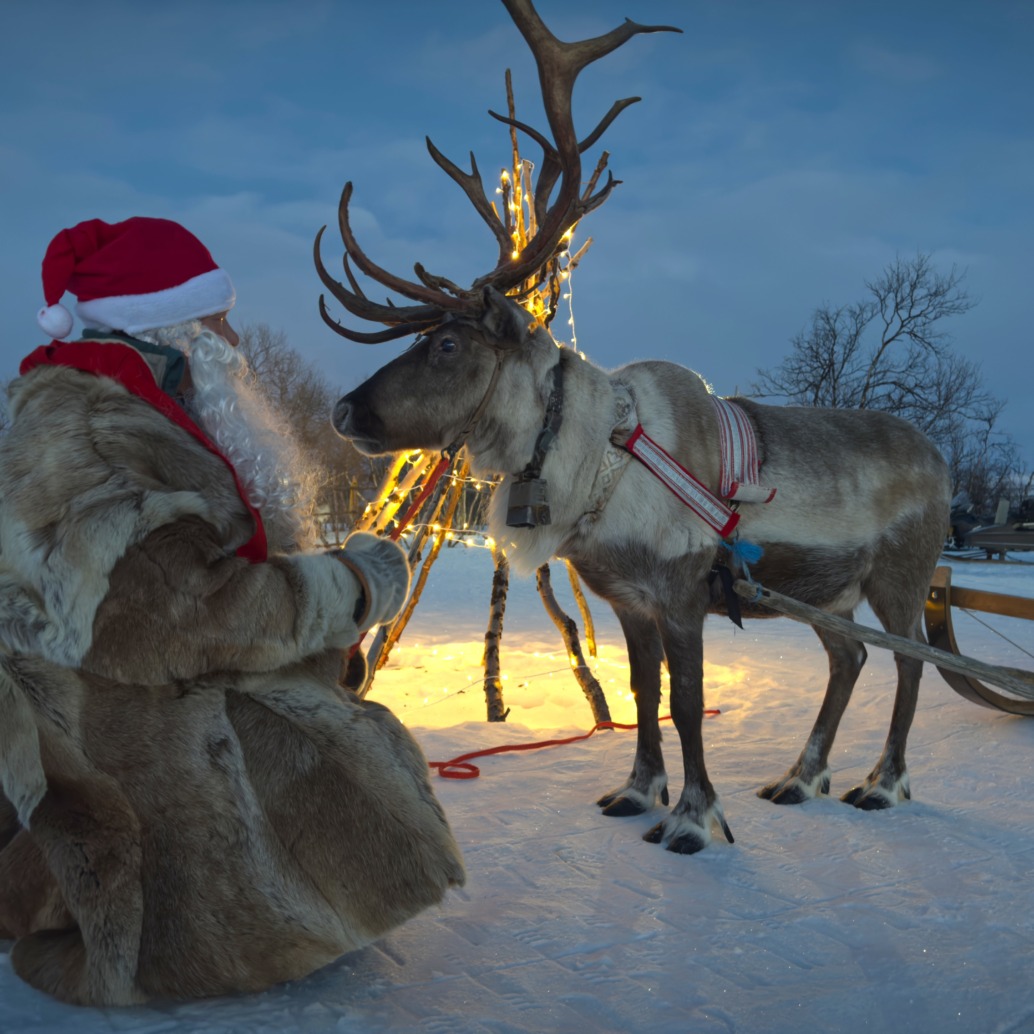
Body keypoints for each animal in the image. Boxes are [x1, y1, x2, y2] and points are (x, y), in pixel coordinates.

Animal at [316, 0, 952, 854]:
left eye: (448, 345)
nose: (345, 410)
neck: (598, 464)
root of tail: (942, 456)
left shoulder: (682, 594)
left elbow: (685, 703)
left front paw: (692, 817)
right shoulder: (625, 599)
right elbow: (641, 694)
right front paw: (638, 789)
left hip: (901, 577)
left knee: (909, 664)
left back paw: (882, 783)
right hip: (830, 593)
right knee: (848, 656)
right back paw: (801, 776)